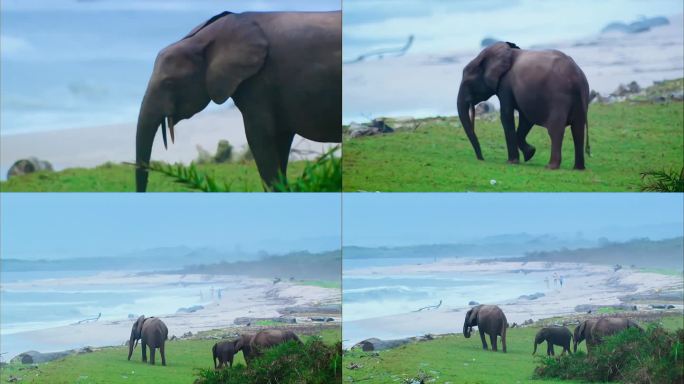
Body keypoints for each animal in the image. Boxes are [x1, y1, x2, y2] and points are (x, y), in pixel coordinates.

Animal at [456, 40, 592, 170]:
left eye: (468, 82)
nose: (481, 159)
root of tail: (578, 78)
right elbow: (526, 120)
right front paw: (530, 154)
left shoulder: (505, 84)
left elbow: (506, 116)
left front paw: (512, 162)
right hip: (581, 100)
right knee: (578, 130)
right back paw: (578, 168)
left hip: (559, 97)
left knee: (556, 129)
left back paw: (550, 167)